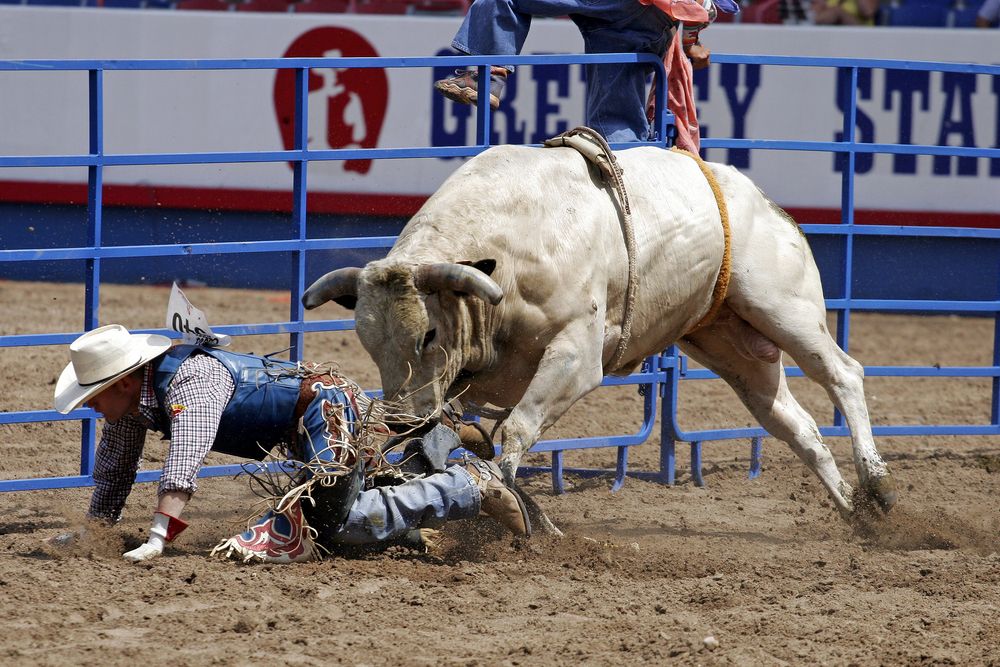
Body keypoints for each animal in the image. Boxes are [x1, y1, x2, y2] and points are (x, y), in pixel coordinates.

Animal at [302, 141, 898, 535]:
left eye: (428, 333)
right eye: (368, 343)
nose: (402, 420)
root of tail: (764, 201)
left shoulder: (577, 356)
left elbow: (517, 430)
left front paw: (508, 501)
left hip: (783, 307)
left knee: (842, 374)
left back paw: (878, 484)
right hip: (729, 343)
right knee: (793, 424)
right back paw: (856, 513)